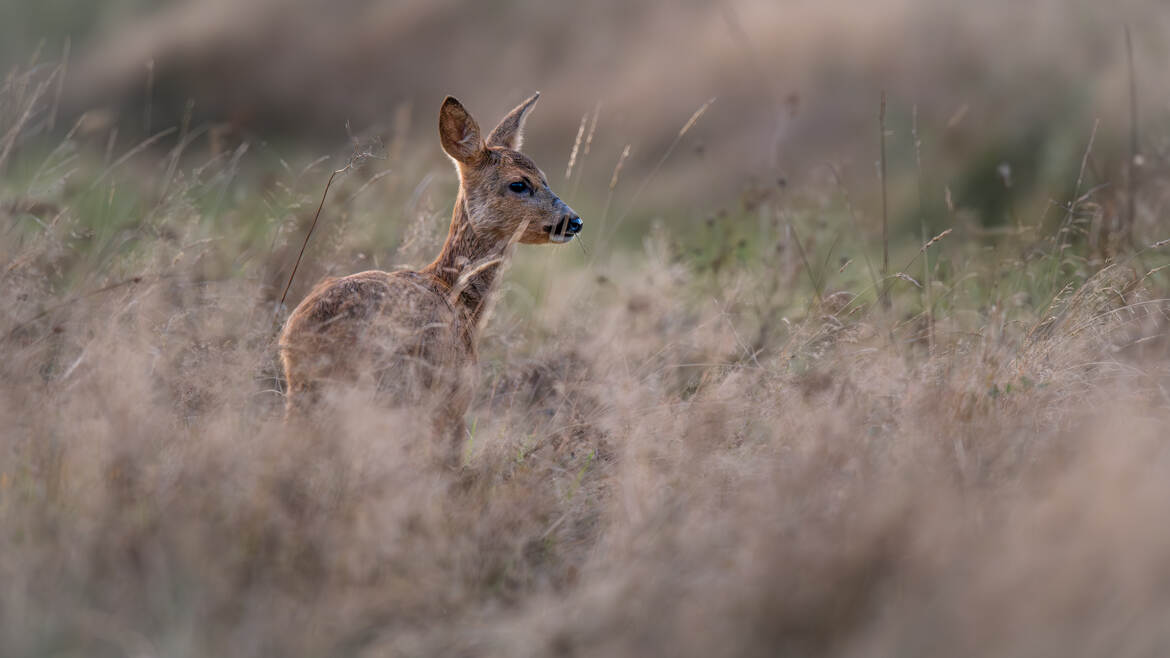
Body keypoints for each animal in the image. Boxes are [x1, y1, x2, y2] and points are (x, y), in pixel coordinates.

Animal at [279, 93, 580, 461]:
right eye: (519, 184)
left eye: (545, 176)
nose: (574, 221)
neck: (458, 296)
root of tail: (300, 337)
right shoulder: (453, 399)